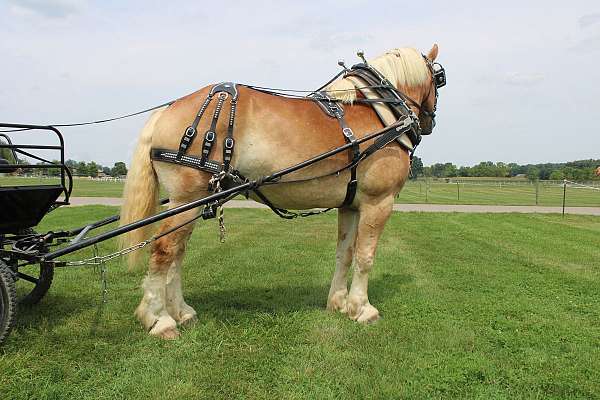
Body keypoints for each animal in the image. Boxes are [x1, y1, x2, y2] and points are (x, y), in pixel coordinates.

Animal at [120, 43, 440, 340]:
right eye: (439, 78)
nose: (429, 121)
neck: (379, 113)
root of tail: (168, 109)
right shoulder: (378, 202)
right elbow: (365, 256)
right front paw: (362, 308)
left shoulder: (350, 205)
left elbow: (345, 253)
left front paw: (338, 302)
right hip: (188, 199)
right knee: (164, 251)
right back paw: (160, 319)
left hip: (190, 203)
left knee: (178, 253)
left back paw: (182, 312)